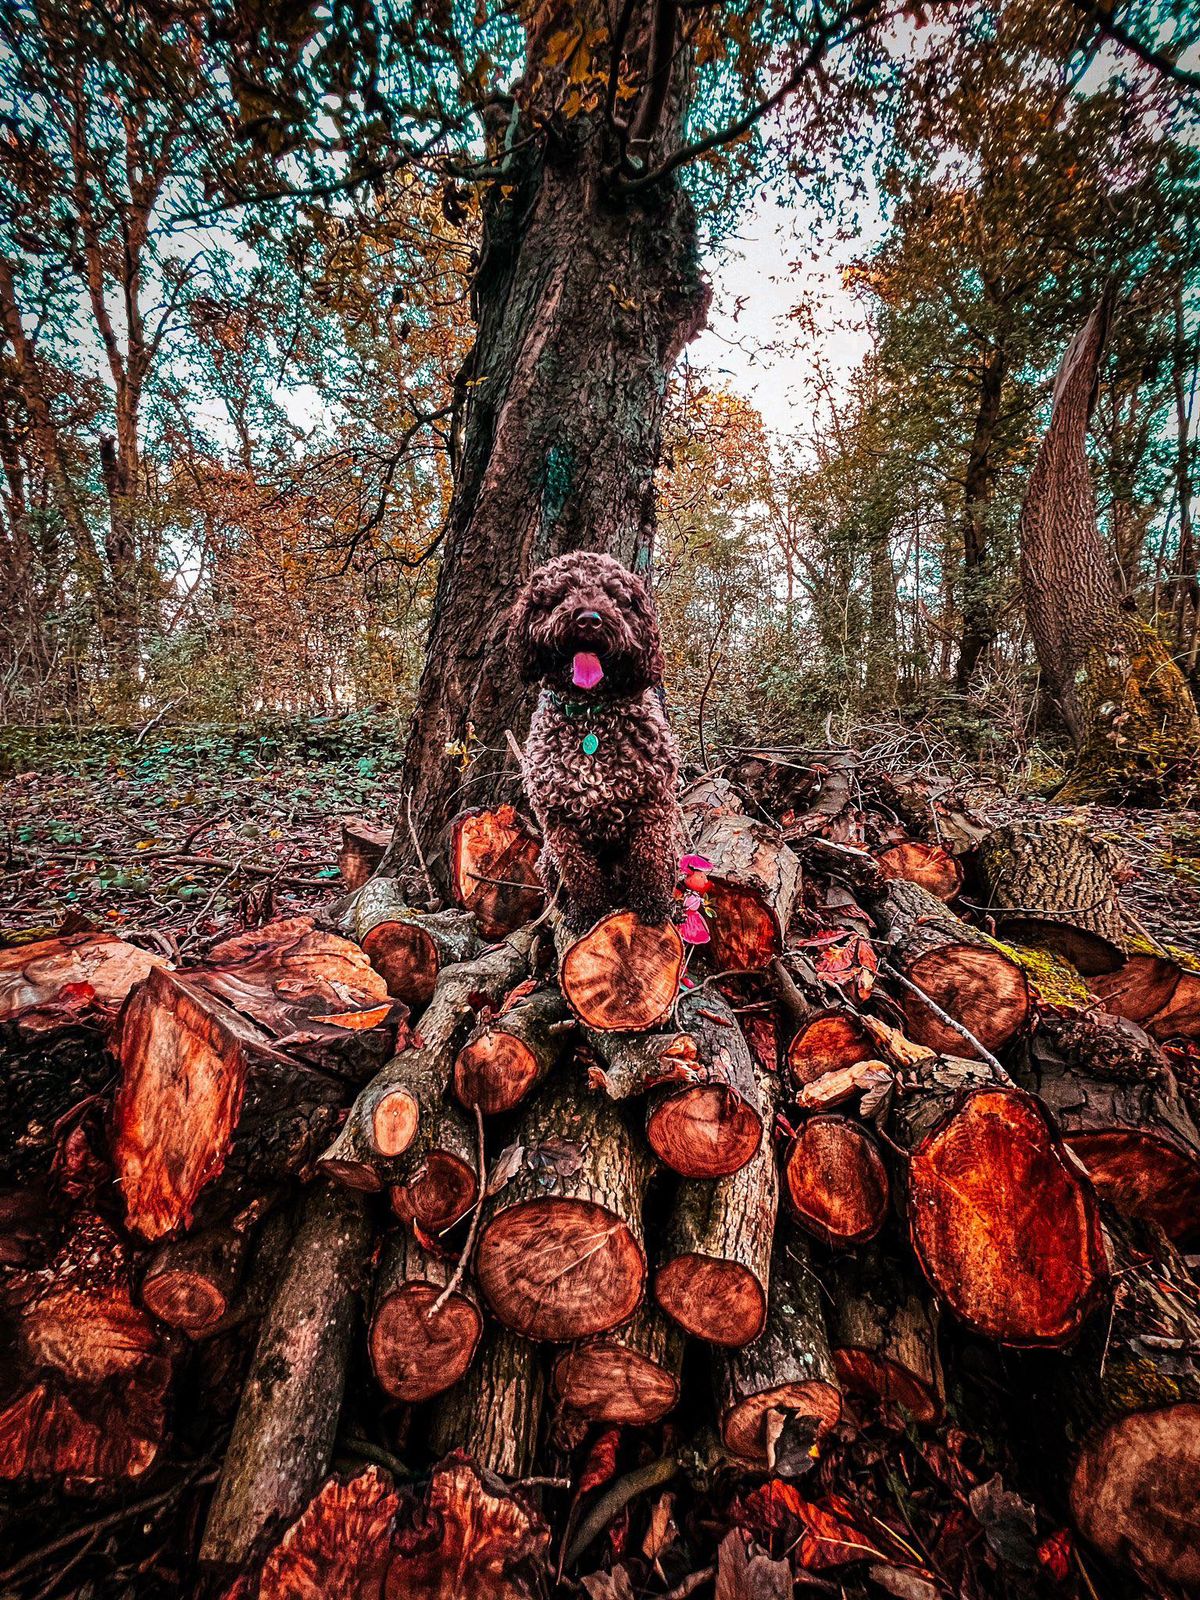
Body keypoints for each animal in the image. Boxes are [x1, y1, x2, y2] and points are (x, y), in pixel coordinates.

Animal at [508, 550, 678, 928]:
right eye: (560, 594)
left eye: (615, 597)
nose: (588, 619)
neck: (590, 716)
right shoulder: (558, 821)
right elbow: (580, 872)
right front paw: (588, 912)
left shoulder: (652, 805)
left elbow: (648, 860)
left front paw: (653, 905)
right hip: (546, 859)